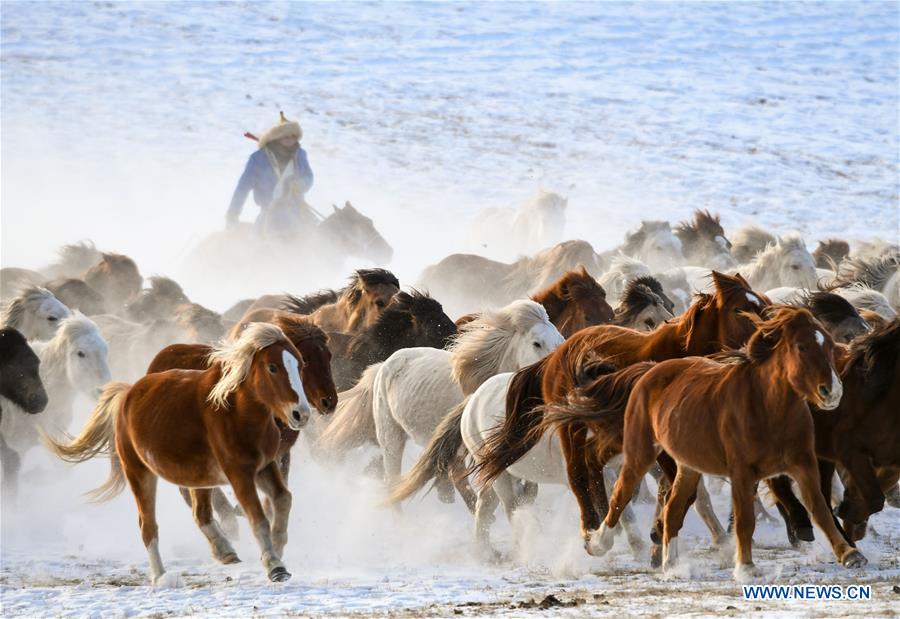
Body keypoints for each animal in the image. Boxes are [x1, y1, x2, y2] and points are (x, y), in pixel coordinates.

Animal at [46, 324, 312, 588]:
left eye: (300, 364)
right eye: (273, 367)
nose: (301, 414)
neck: (237, 413)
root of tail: (127, 394)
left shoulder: (264, 466)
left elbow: (283, 499)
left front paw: (277, 548)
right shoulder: (239, 474)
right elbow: (258, 518)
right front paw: (275, 567)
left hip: (199, 477)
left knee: (201, 514)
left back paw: (224, 551)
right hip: (139, 473)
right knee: (148, 526)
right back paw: (160, 577)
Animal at [584, 308, 864, 580]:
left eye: (830, 345)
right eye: (801, 347)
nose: (832, 392)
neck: (767, 408)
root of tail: (649, 370)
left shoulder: (803, 465)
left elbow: (820, 510)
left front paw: (850, 554)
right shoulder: (742, 472)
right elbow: (745, 520)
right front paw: (746, 568)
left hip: (688, 466)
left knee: (673, 509)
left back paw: (671, 565)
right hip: (640, 452)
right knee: (621, 493)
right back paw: (596, 544)